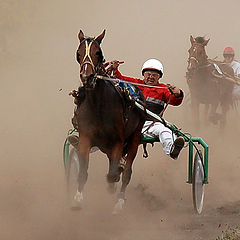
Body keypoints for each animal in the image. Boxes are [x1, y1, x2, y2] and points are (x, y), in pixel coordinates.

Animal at [71, 30, 145, 214]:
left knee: (127, 172)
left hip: (134, 137)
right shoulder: (86, 138)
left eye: (98, 53)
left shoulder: (118, 141)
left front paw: (114, 182)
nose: (87, 77)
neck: (98, 105)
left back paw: (119, 201)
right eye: (78, 53)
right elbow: (83, 171)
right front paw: (77, 199)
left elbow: (113, 175)